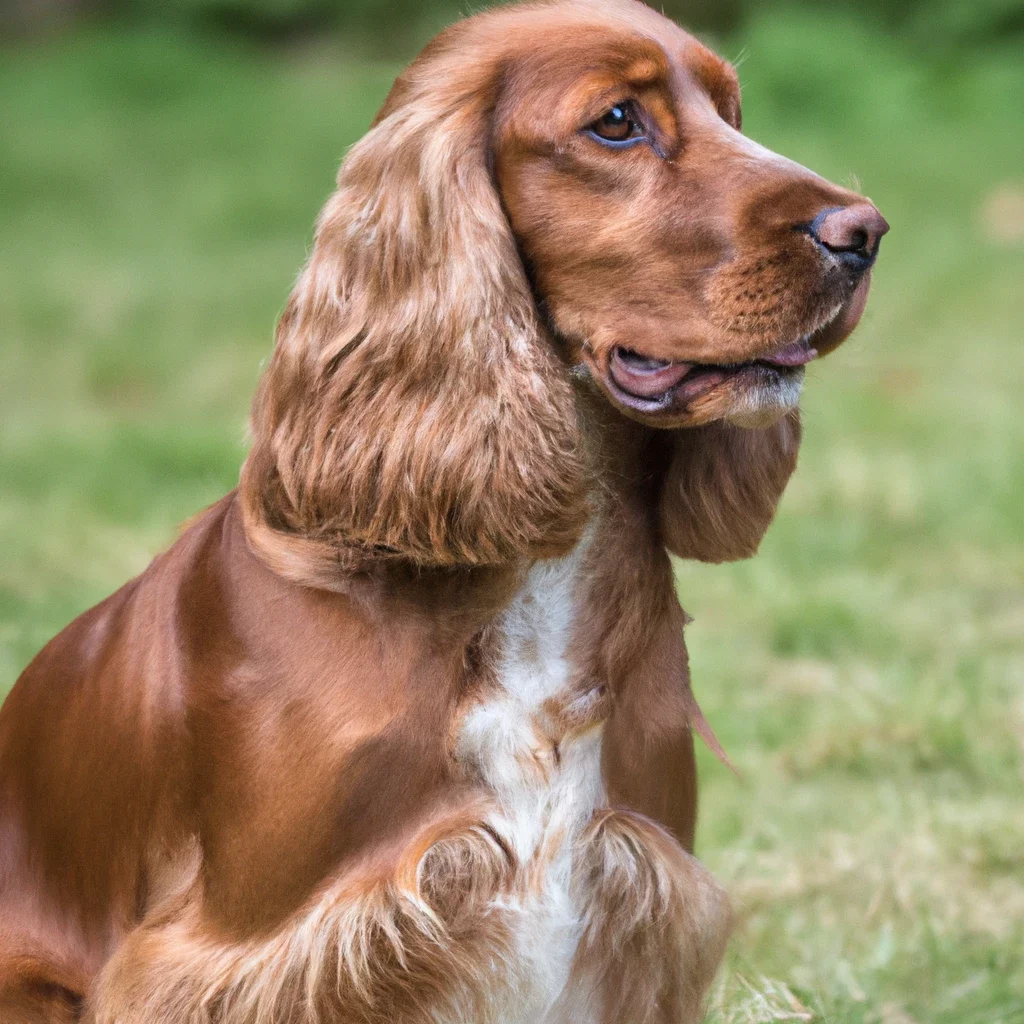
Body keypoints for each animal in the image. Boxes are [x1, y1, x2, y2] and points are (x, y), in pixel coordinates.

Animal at [0, 0, 884, 1019]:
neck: (529, 579)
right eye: (616, 122)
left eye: (733, 112)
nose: (864, 231)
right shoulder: (237, 951)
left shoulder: (642, 904)